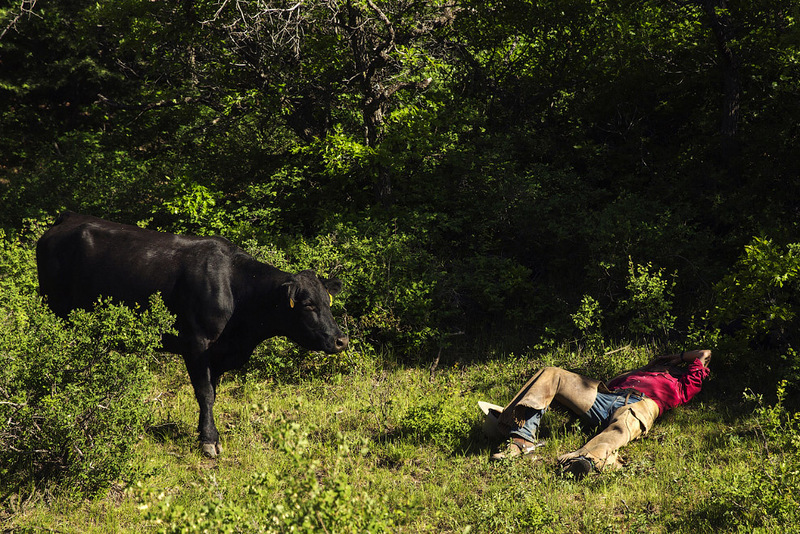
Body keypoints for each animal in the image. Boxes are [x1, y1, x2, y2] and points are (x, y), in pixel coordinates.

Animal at [36, 211, 346, 458]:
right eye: (308, 304)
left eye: (328, 301)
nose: (340, 340)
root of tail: (69, 217)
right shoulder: (196, 344)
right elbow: (204, 392)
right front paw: (209, 440)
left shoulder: (218, 353)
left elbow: (213, 391)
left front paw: (203, 432)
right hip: (56, 311)